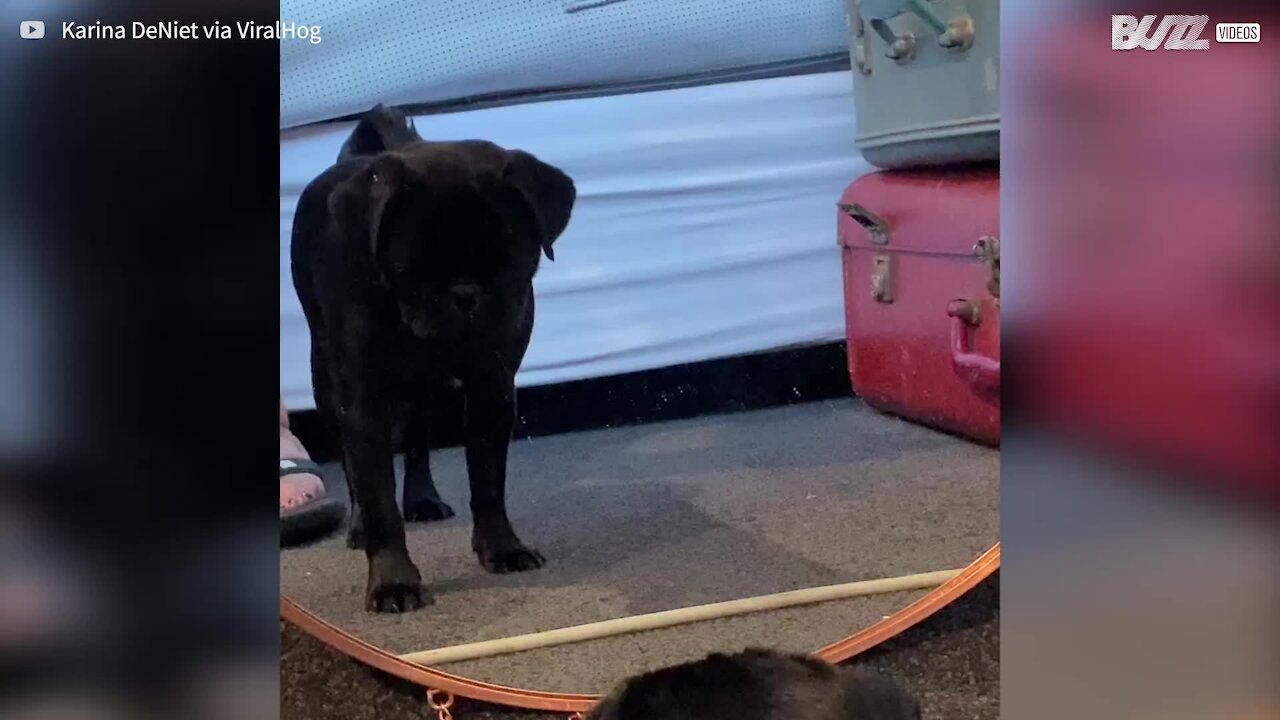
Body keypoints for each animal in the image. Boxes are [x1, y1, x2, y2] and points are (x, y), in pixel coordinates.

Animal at [293, 105, 578, 609]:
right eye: (409, 269)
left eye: (514, 262)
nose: (466, 293)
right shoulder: (362, 406)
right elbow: (377, 494)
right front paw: (393, 581)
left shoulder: (492, 393)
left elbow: (488, 480)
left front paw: (502, 549)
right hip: (326, 387)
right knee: (349, 463)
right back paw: (359, 527)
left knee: (417, 443)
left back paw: (423, 499)